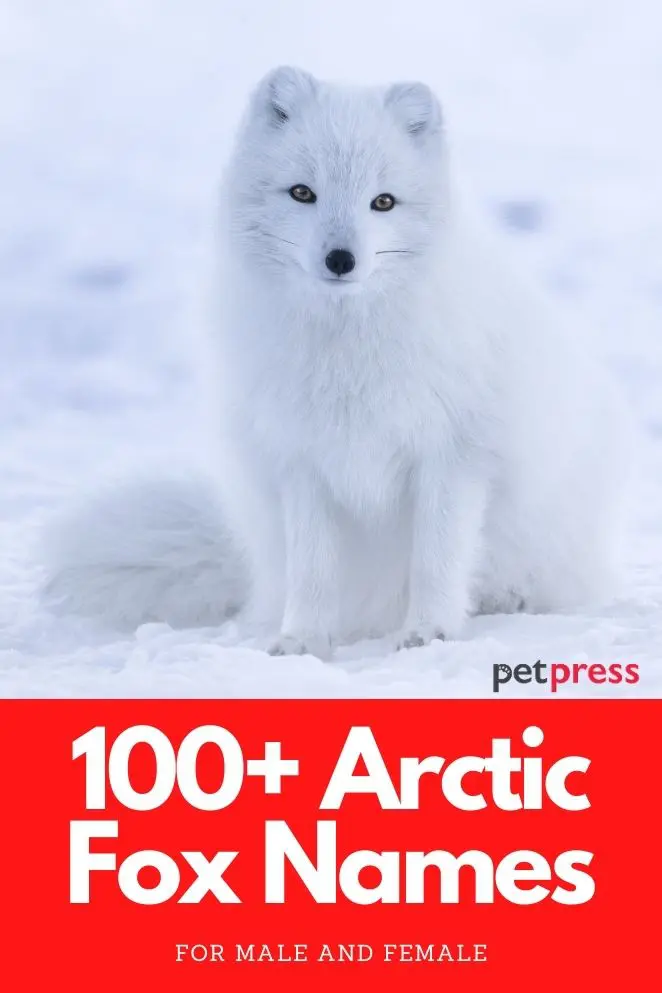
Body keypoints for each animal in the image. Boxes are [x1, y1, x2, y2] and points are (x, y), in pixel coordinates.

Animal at [42, 66, 632, 658]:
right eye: (303, 193)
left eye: (383, 202)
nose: (341, 259)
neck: (347, 348)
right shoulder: (302, 460)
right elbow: (313, 569)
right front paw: (302, 640)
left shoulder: (454, 454)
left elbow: (437, 558)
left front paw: (430, 632)